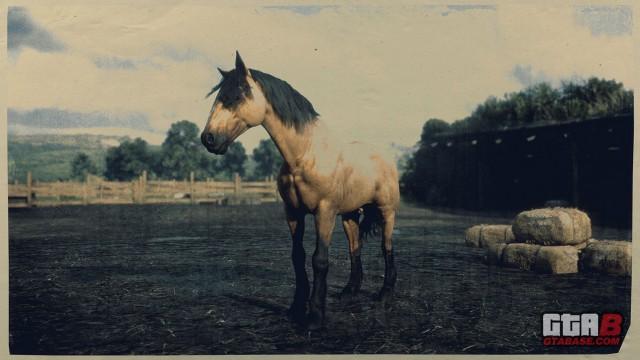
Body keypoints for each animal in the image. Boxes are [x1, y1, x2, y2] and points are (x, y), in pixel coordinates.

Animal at [201, 51, 400, 330]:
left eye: (237, 96)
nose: (208, 139)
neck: (304, 155)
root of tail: (387, 158)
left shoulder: (324, 212)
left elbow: (319, 260)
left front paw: (315, 316)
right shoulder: (293, 212)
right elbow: (298, 256)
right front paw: (296, 308)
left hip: (386, 212)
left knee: (387, 247)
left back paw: (385, 294)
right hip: (350, 215)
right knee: (355, 247)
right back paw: (349, 291)